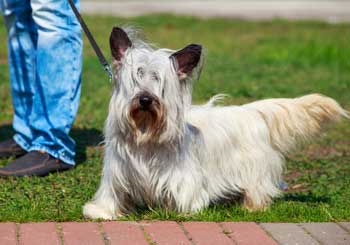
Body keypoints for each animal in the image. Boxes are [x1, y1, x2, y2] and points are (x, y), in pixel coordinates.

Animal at [83, 27, 348, 220]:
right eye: (136, 78)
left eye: (160, 82)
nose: (146, 99)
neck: (146, 133)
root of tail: (250, 110)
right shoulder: (118, 172)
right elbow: (113, 195)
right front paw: (103, 212)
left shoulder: (183, 178)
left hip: (253, 168)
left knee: (258, 188)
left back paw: (251, 206)